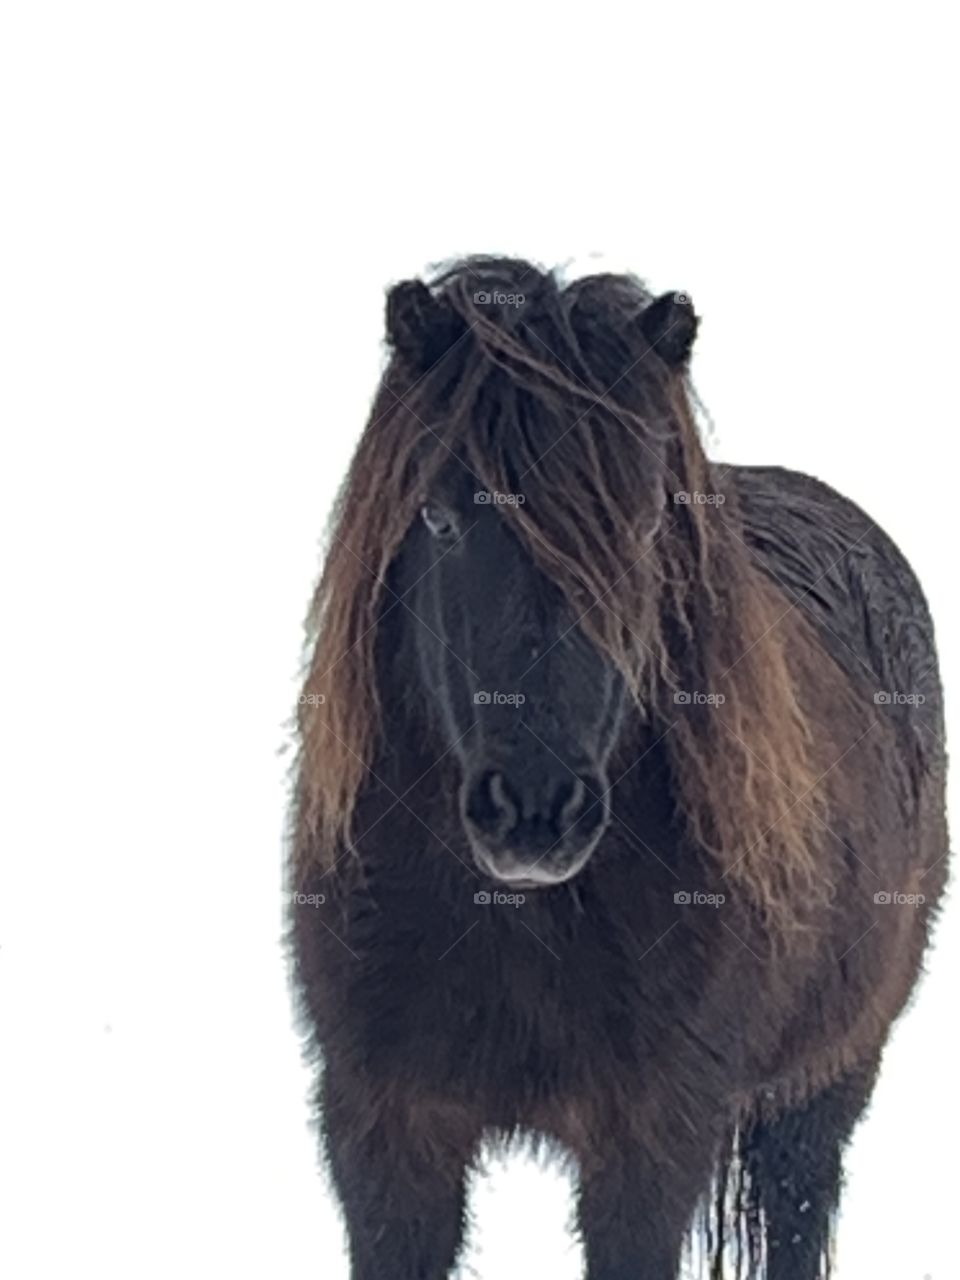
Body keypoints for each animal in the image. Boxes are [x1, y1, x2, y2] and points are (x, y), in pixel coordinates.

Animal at [289, 257, 952, 1280]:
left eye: (642, 528)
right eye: (438, 517)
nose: (535, 813)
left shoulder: (647, 1153)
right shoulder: (388, 1138)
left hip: (828, 1081)